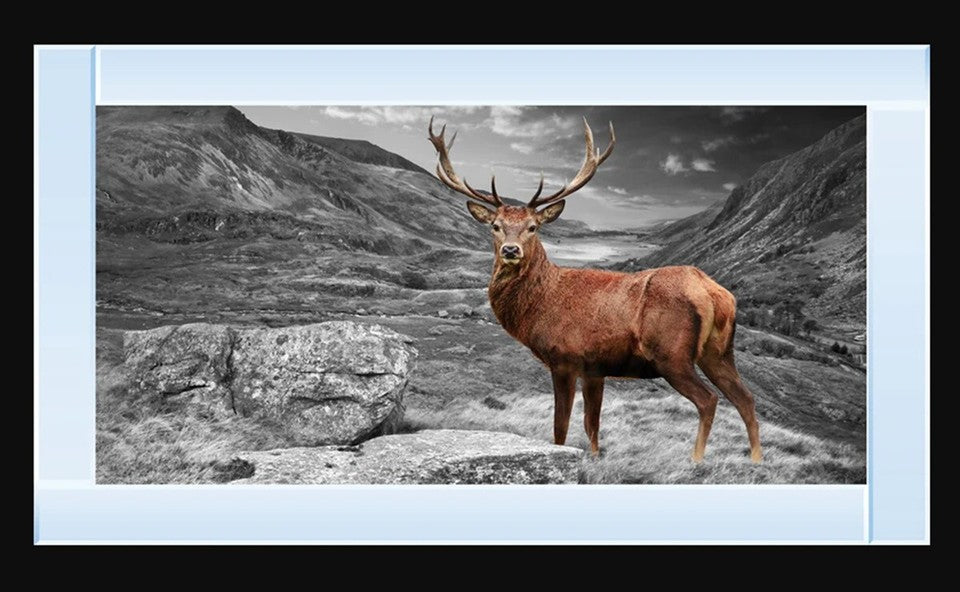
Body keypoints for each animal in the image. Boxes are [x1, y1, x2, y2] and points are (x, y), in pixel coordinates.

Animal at [427, 116, 762, 463]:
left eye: (533, 227)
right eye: (495, 226)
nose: (510, 250)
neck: (540, 306)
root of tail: (715, 293)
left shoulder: (565, 358)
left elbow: (561, 428)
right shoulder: (595, 369)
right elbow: (592, 427)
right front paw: (595, 458)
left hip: (672, 354)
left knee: (709, 400)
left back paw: (696, 460)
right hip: (719, 352)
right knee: (746, 398)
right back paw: (756, 460)